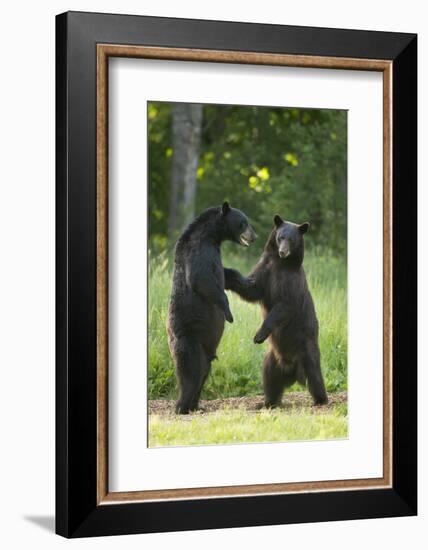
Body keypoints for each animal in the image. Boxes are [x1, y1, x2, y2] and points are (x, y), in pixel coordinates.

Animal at [167, 203, 256, 414]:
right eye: (243, 222)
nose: (254, 236)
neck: (212, 236)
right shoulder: (198, 250)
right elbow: (201, 278)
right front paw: (229, 313)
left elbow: (226, 273)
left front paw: (245, 280)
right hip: (189, 339)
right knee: (191, 372)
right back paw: (182, 406)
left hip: (206, 348)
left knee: (203, 372)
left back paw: (196, 406)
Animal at [224, 216, 328, 410]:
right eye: (281, 237)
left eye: (292, 239)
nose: (282, 252)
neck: (281, 264)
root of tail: (292, 371)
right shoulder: (266, 270)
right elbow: (252, 288)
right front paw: (227, 274)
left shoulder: (290, 282)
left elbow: (283, 307)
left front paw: (258, 335)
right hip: (271, 358)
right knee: (269, 379)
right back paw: (267, 402)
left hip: (306, 348)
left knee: (314, 375)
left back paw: (320, 399)